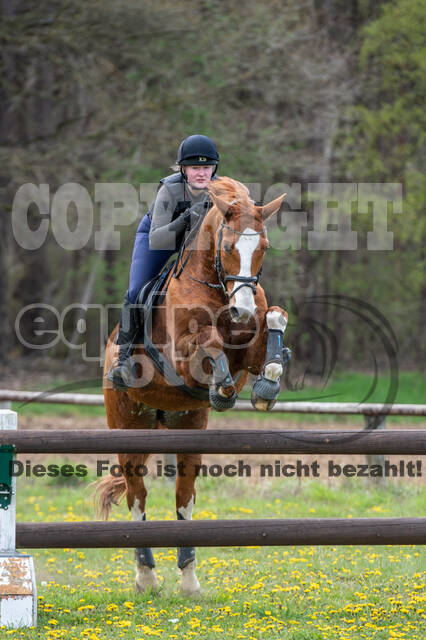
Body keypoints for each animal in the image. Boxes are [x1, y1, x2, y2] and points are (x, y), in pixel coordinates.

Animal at [97, 175, 290, 596]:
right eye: (228, 246)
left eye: (264, 247)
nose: (242, 311)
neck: (218, 287)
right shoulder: (183, 357)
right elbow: (208, 344)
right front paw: (221, 388)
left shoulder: (248, 352)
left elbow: (274, 321)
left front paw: (267, 387)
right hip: (128, 424)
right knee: (137, 498)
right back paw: (147, 577)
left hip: (187, 426)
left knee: (184, 498)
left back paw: (188, 578)